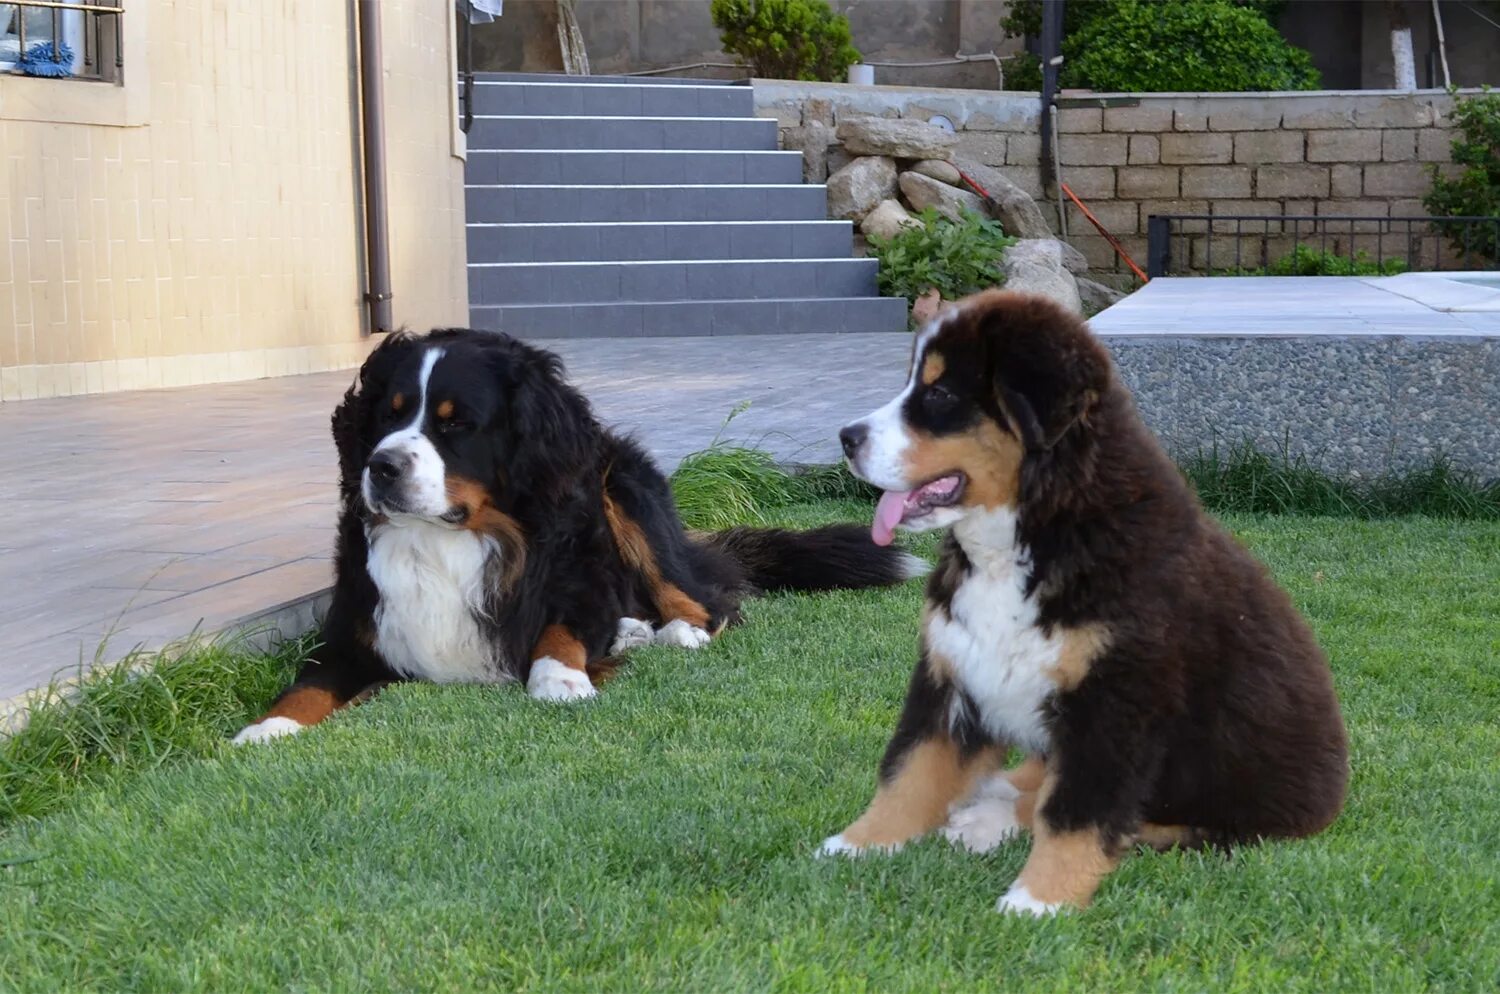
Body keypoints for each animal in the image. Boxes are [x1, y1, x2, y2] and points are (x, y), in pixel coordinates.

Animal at [231, 329, 924, 743]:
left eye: (457, 425)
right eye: (388, 413)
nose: (382, 467)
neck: (446, 542)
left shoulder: (578, 582)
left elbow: (560, 631)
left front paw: (559, 679)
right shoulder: (356, 629)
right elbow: (308, 685)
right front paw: (263, 728)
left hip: (622, 485)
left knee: (709, 601)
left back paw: (675, 632)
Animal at [822, 289, 1350, 917]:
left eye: (940, 395)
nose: (846, 437)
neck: (1032, 535)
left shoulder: (1114, 704)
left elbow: (1072, 812)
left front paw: (1037, 900)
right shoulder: (951, 674)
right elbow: (909, 769)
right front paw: (859, 843)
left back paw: (989, 817)